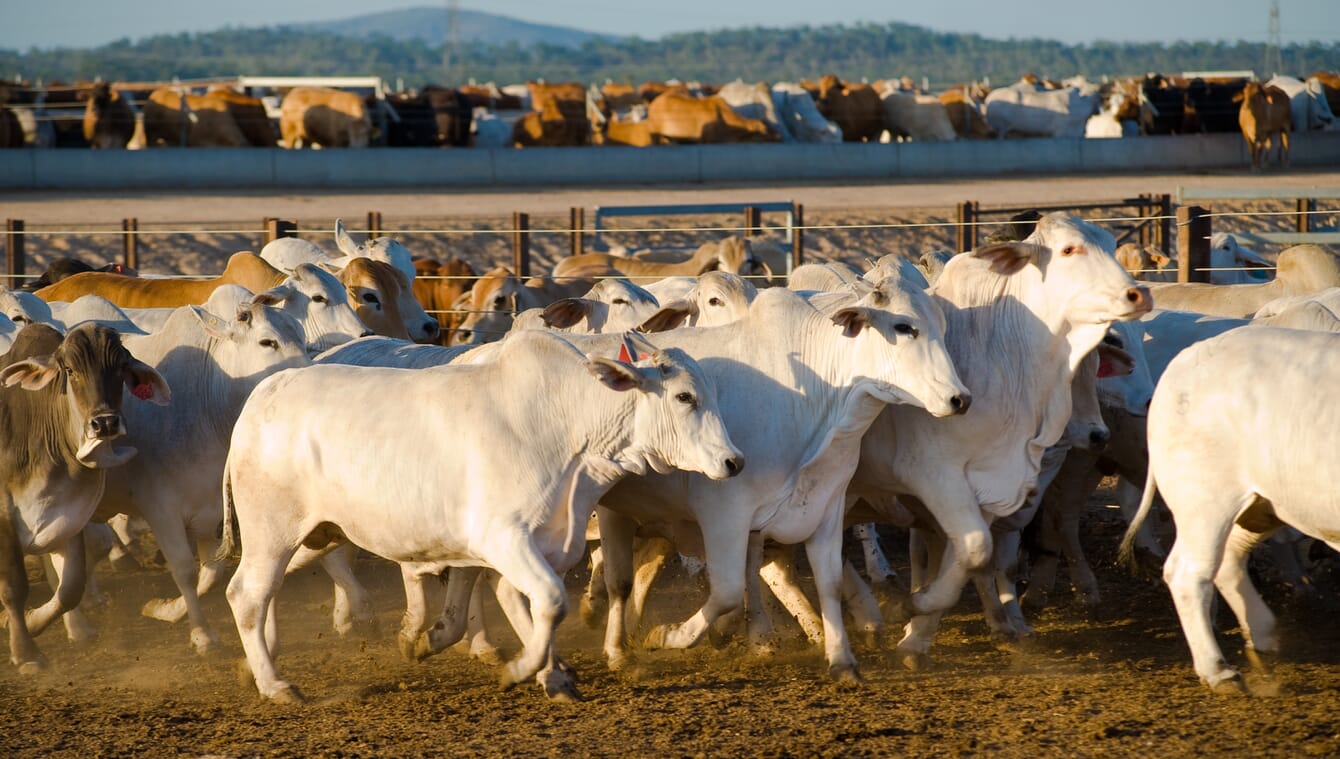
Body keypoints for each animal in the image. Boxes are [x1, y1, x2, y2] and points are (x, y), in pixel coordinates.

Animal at [0, 324, 168, 675]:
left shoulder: (70, 514)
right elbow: (13, 586)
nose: (104, 422)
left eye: (120, 367)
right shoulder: (4, 517)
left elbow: (70, 587)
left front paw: (36, 622)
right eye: (70, 370)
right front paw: (26, 652)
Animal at [221, 329, 745, 702]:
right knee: (246, 593)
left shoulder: (536, 545)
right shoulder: (503, 539)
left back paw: (254, 665)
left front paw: (553, 676)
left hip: (318, 534)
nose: (733, 461)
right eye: (684, 397)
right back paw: (276, 685)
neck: (566, 430)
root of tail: (260, 400)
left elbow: (519, 605)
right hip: (272, 531)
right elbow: (548, 602)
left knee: (263, 590)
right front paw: (521, 670)